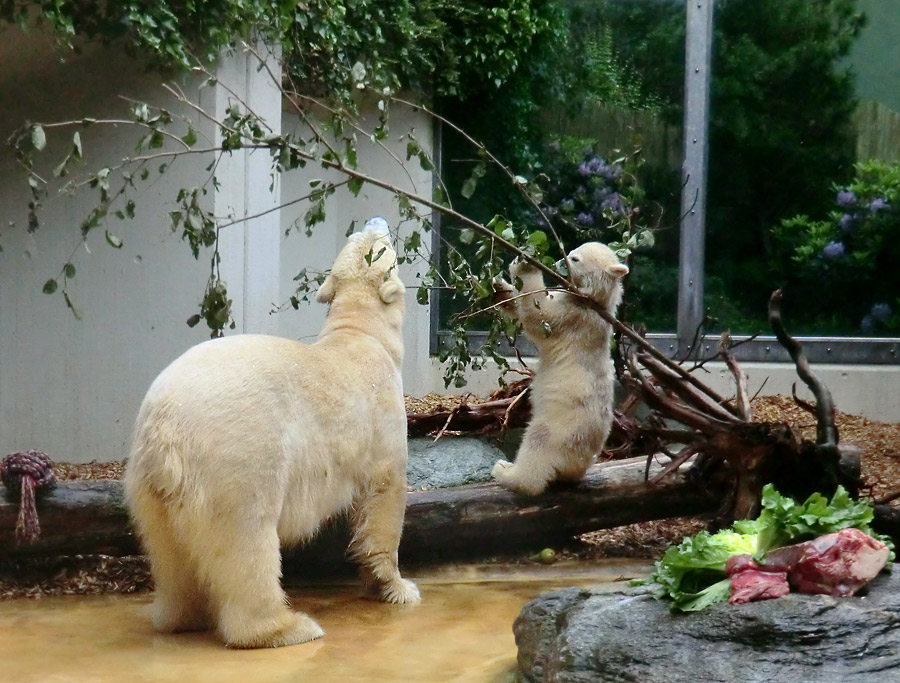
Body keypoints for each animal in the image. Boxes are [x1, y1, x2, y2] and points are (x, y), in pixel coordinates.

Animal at [125, 220, 420, 652]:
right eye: (381, 245)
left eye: (360, 238)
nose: (376, 220)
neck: (363, 333)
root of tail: (164, 423)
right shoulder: (381, 418)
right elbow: (385, 496)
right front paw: (397, 587)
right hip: (239, 451)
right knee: (246, 538)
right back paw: (287, 626)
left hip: (150, 482)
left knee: (170, 549)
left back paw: (183, 615)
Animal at [492, 243, 624, 494]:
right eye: (570, 252)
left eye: (574, 258)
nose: (556, 263)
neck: (595, 302)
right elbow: (521, 303)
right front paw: (498, 285)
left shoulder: (574, 318)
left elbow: (540, 316)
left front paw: (525, 264)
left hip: (564, 429)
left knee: (538, 442)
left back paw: (506, 471)